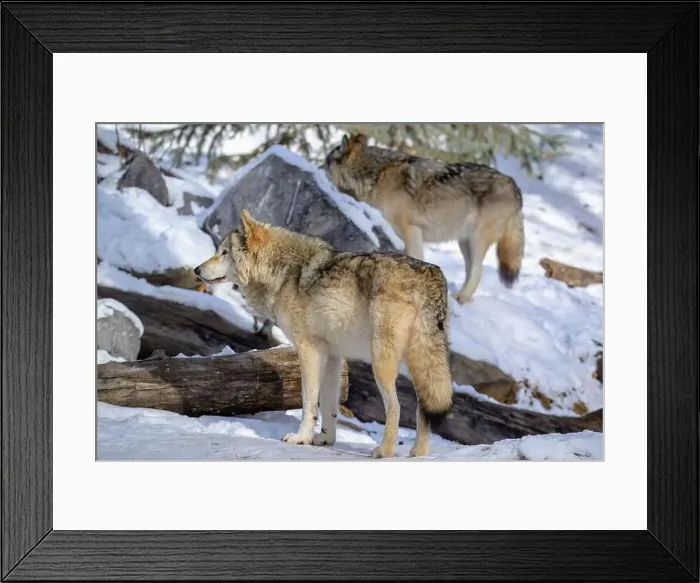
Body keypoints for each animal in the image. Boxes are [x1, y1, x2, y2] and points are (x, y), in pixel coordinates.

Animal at [194, 210, 454, 458]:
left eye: (224, 253)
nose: (196, 269)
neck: (283, 273)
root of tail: (431, 274)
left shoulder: (309, 350)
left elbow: (309, 401)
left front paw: (301, 438)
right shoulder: (333, 356)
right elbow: (329, 404)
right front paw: (326, 439)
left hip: (382, 364)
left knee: (396, 408)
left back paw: (384, 452)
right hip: (419, 363)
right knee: (424, 407)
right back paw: (419, 453)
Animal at [324, 133, 525, 303]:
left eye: (325, 163)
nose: (319, 169)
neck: (376, 176)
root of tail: (514, 185)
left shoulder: (410, 229)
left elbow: (415, 257)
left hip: (477, 240)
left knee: (478, 271)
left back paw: (460, 298)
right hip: (464, 242)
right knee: (470, 270)